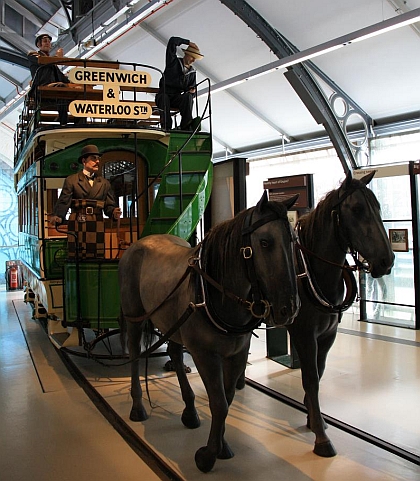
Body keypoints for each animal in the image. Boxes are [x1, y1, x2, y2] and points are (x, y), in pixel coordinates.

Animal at [118, 190, 300, 468]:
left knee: (174, 353)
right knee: (135, 357)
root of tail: (140, 242)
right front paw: (208, 456)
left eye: (292, 239)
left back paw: (190, 411)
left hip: (173, 322)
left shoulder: (236, 354)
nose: (289, 308)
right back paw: (138, 407)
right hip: (135, 318)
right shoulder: (205, 355)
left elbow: (227, 398)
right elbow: (219, 403)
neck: (216, 291)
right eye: (265, 242)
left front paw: (221, 445)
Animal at [288, 171, 392, 456]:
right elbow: (311, 378)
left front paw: (315, 418)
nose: (387, 260)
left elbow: (319, 372)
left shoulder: (328, 334)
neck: (310, 270)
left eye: (378, 207)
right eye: (356, 209)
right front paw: (321, 438)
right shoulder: (304, 335)